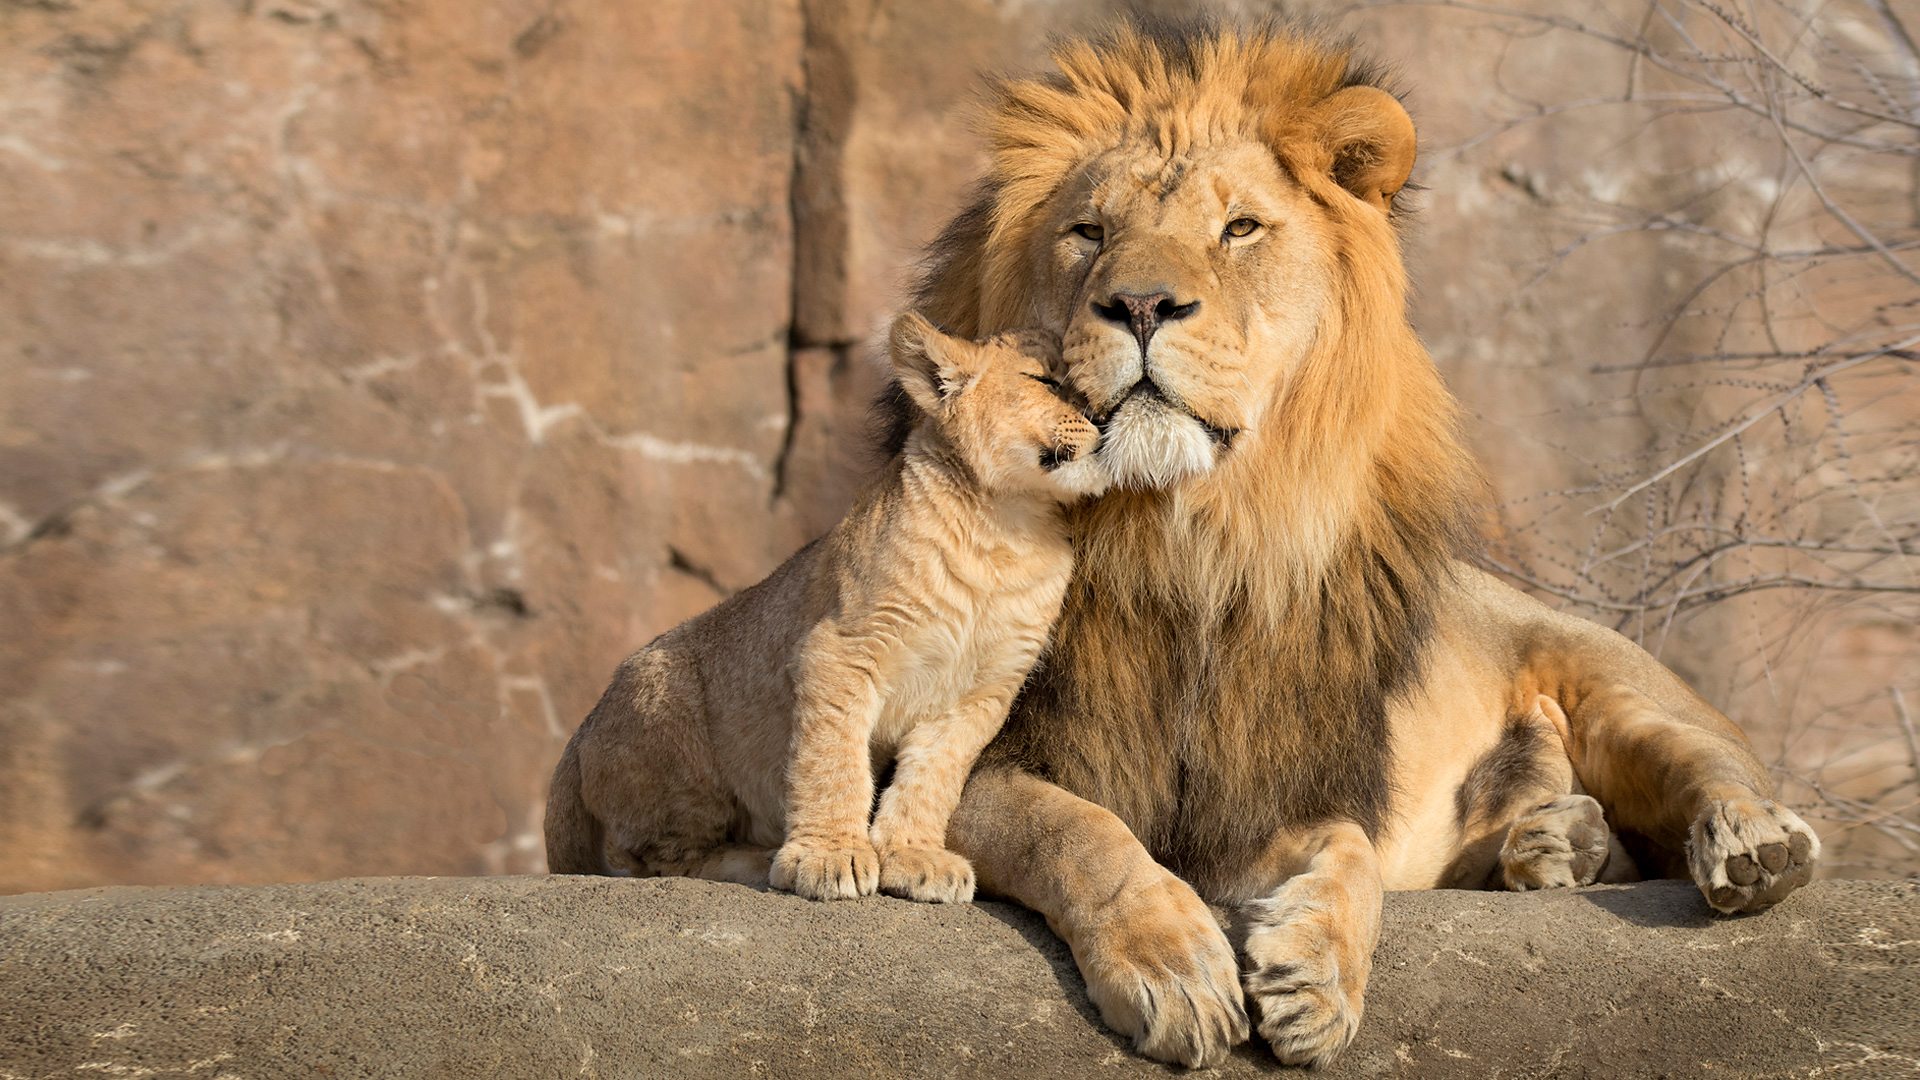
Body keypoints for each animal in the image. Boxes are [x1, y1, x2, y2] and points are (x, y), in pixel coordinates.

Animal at [545, 315, 1106, 905]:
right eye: (1044, 381)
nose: (1103, 416)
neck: (1007, 529)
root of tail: (580, 731)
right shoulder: (841, 649)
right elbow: (833, 761)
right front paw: (829, 856)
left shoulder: (982, 693)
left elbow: (933, 778)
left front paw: (915, 857)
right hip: (675, 724)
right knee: (657, 860)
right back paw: (757, 859)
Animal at [874, 20, 1823, 1069]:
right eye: (1089, 232)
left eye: (1239, 230)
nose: (1142, 305)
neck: (1187, 540)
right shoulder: (969, 761)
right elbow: (1080, 832)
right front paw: (1176, 968)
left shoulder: (1276, 785)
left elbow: (1352, 852)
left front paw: (1316, 978)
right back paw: (1553, 845)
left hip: (1614, 684)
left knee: (1710, 764)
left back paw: (1748, 843)